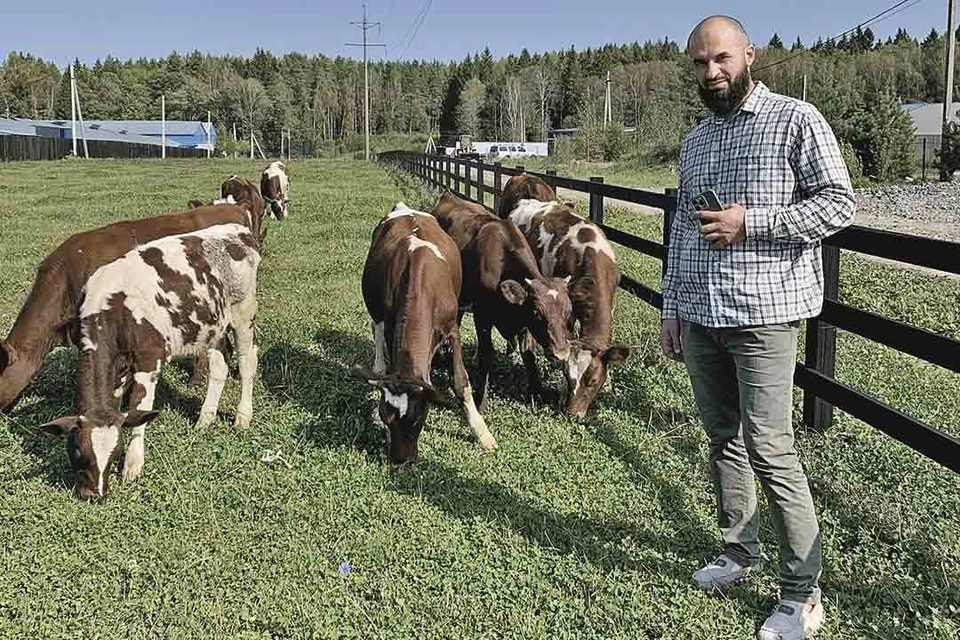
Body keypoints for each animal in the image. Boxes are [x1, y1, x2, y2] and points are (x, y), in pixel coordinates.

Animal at [42, 225, 262, 500]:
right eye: (78, 452)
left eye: (115, 453)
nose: (95, 494)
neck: (115, 306)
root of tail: (238, 230)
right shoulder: (119, 365)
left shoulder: (149, 358)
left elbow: (140, 406)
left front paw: (133, 465)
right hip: (212, 326)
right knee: (219, 366)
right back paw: (205, 419)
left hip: (244, 312)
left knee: (247, 361)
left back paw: (243, 417)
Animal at [360, 202, 496, 462]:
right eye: (384, 417)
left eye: (417, 420)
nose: (400, 461)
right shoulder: (391, 326)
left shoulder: (451, 329)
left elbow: (460, 381)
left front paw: (482, 432)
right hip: (376, 310)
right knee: (376, 333)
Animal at [432, 190, 572, 410]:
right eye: (537, 313)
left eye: (568, 312)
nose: (561, 353)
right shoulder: (482, 316)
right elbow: (486, 354)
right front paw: (481, 400)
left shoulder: (523, 323)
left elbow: (528, 354)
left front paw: (536, 393)